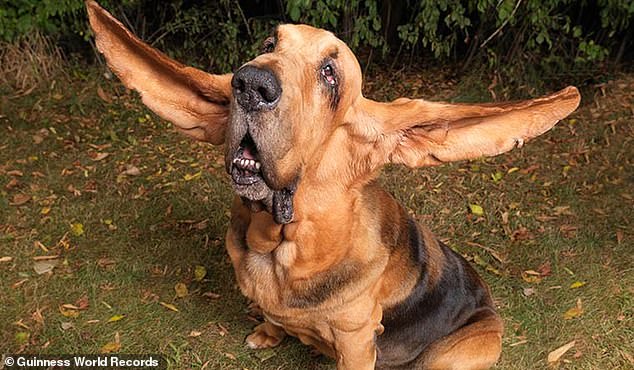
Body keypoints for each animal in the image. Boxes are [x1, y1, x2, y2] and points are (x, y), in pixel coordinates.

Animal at [87, 2, 576, 368]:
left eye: (329, 74)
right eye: (268, 44)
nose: (250, 84)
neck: (279, 244)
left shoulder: (357, 340)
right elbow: (274, 320)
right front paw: (267, 333)